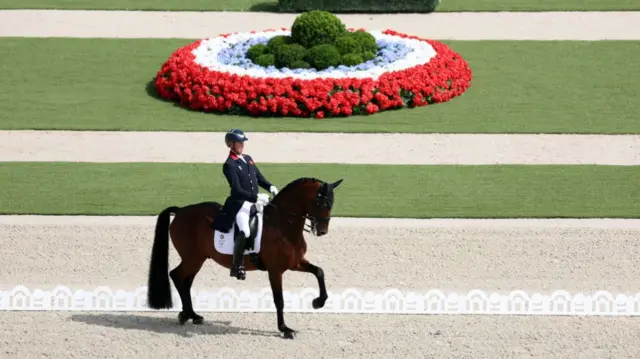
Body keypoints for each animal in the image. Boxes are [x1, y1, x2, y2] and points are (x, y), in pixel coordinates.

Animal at [146, 177, 344, 340]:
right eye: (319, 202)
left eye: (332, 203)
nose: (322, 231)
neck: (283, 226)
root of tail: (180, 211)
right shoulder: (275, 271)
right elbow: (279, 300)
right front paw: (285, 329)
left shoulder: (295, 263)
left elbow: (319, 272)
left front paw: (318, 302)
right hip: (192, 258)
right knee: (176, 275)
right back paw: (186, 315)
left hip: (198, 259)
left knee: (185, 282)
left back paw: (192, 315)